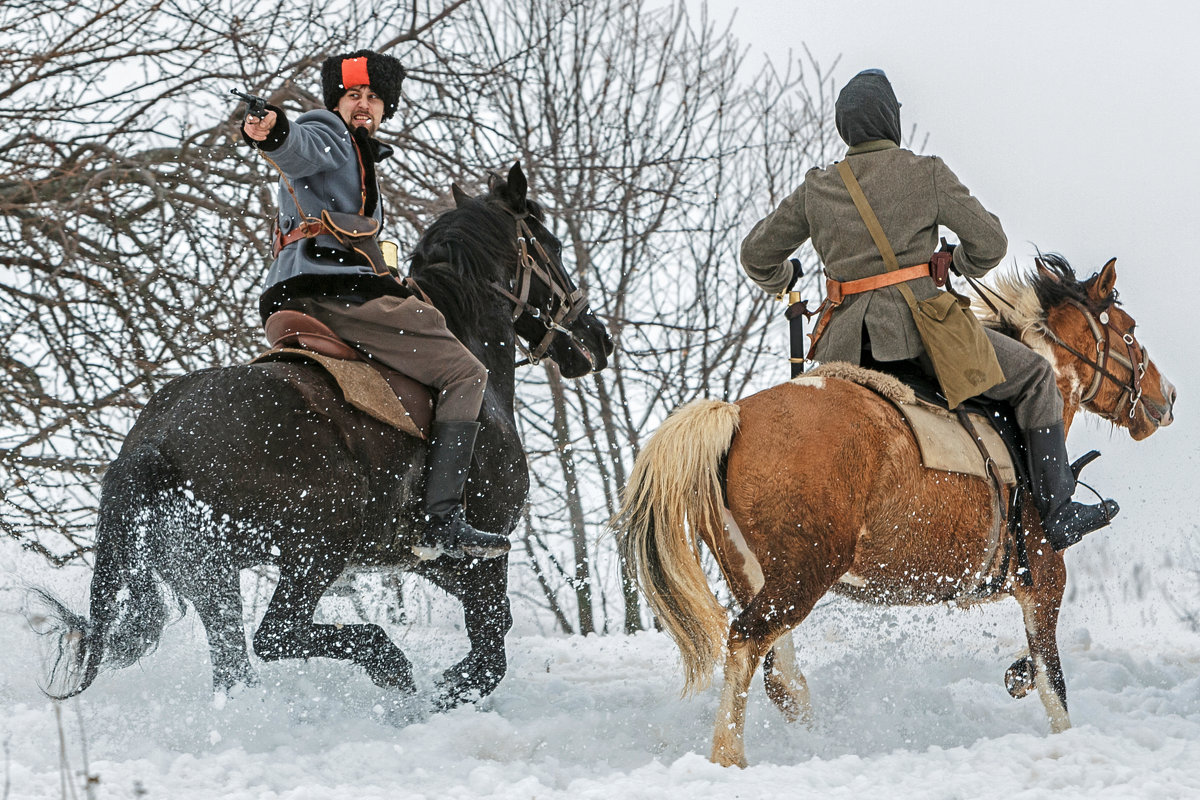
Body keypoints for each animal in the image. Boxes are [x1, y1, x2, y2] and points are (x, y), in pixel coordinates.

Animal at [32, 163, 614, 705]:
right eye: (551, 245)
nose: (598, 339)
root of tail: (155, 439)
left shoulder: (427, 558)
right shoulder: (479, 550)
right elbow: (492, 642)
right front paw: (446, 692)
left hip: (210, 573)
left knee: (236, 663)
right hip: (317, 548)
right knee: (277, 635)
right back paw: (390, 666)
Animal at [619, 255, 1171, 762]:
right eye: (1128, 332)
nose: (1167, 397)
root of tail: (734, 417)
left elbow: (1035, 668)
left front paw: (1017, 674)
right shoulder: (1044, 581)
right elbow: (1053, 684)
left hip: (760, 579)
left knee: (781, 675)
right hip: (800, 578)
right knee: (746, 645)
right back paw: (729, 756)